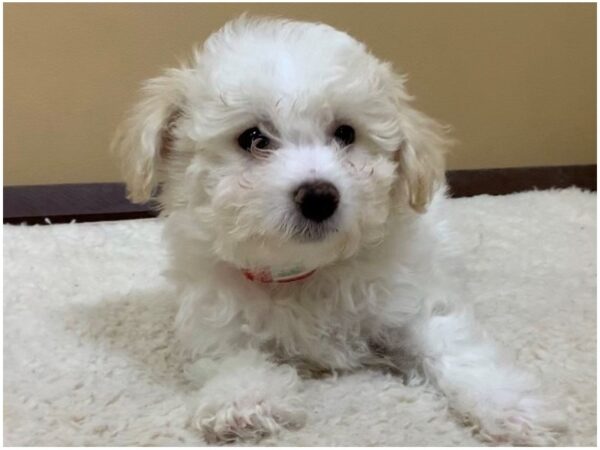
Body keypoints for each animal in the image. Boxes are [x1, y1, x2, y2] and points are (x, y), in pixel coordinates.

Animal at [112, 15, 568, 444]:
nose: (319, 196)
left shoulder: (411, 302)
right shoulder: (215, 315)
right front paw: (243, 399)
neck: (304, 272)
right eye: (253, 138)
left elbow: (453, 348)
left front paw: (510, 406)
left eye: (346, 133)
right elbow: (231, 354)